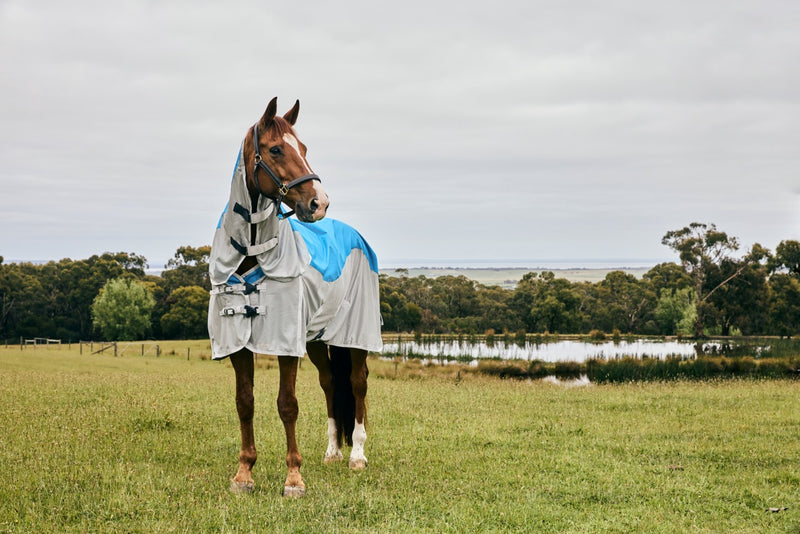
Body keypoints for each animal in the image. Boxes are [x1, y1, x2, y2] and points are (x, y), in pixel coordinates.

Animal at [207, 97, 383, 497]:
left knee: (358, 383)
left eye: (303, 148)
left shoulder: (286, 343)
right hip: (317, 338)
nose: (320, 203)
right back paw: (333, 452)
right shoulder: (238, 345)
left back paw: (357, 455)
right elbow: (245, 402)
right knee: (330, 383)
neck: (253, 251)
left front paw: (293, 478)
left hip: (356, 335)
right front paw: (244, 473)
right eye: (276, 149)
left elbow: (287, 405)